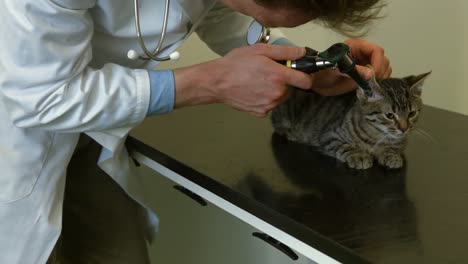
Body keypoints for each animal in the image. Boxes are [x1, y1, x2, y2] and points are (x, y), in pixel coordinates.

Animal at [270, 70, 432, 169]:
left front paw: (391, 154)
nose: (404, 128)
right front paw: (358, 155)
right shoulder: (329, 136)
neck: (377, 135)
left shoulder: (400, 142)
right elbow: (345, 146)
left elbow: (394, 147)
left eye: (411, 113)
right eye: (390, 115)